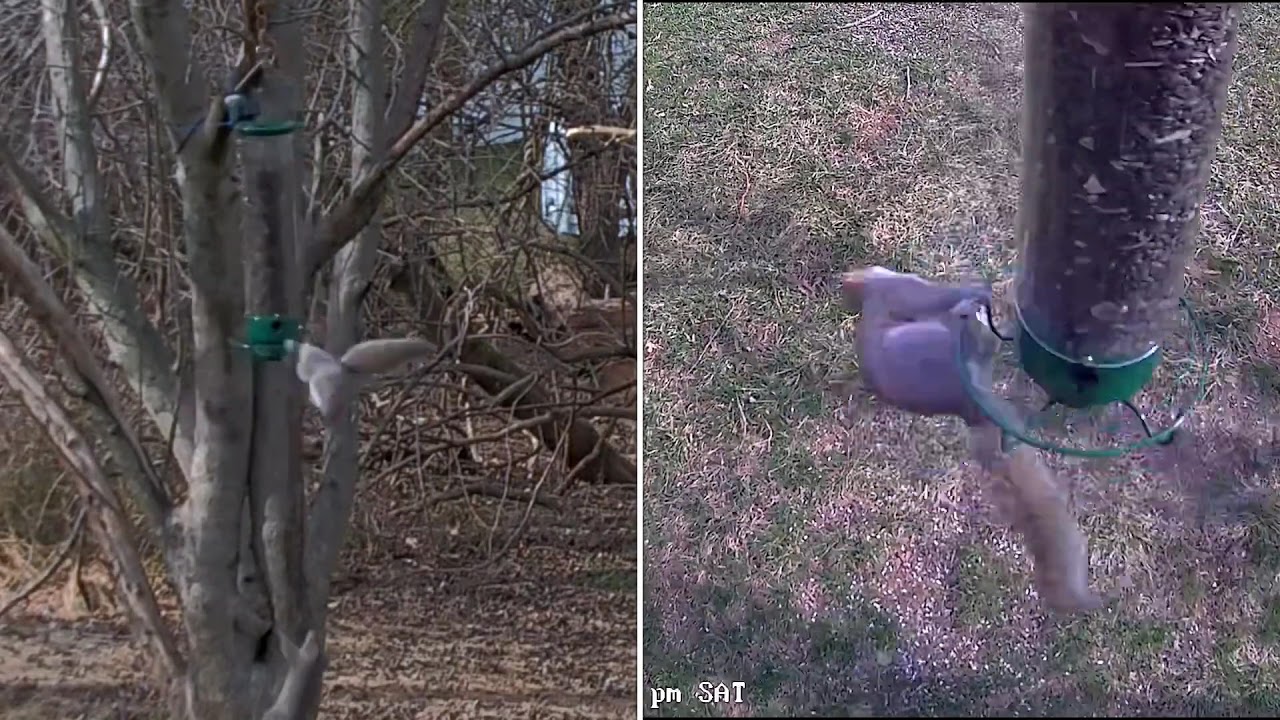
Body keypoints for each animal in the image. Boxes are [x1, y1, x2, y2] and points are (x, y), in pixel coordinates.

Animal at [841, 266, 1101, 614]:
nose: (856, 276)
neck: (871, 294)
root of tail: (973, 406)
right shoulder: (906, 294)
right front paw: (981, 291)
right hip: (950, 342)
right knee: (979, 336)